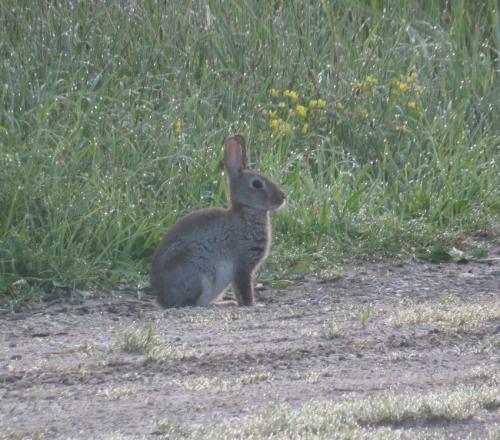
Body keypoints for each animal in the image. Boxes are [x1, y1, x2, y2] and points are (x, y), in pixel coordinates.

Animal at [150, 136, 286, 308]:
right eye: (257, 184)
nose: (282, 197)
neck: (246, 211)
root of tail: (163, 299)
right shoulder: (242, 265)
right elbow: (244, 289)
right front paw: (252, 305)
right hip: (197, 272)